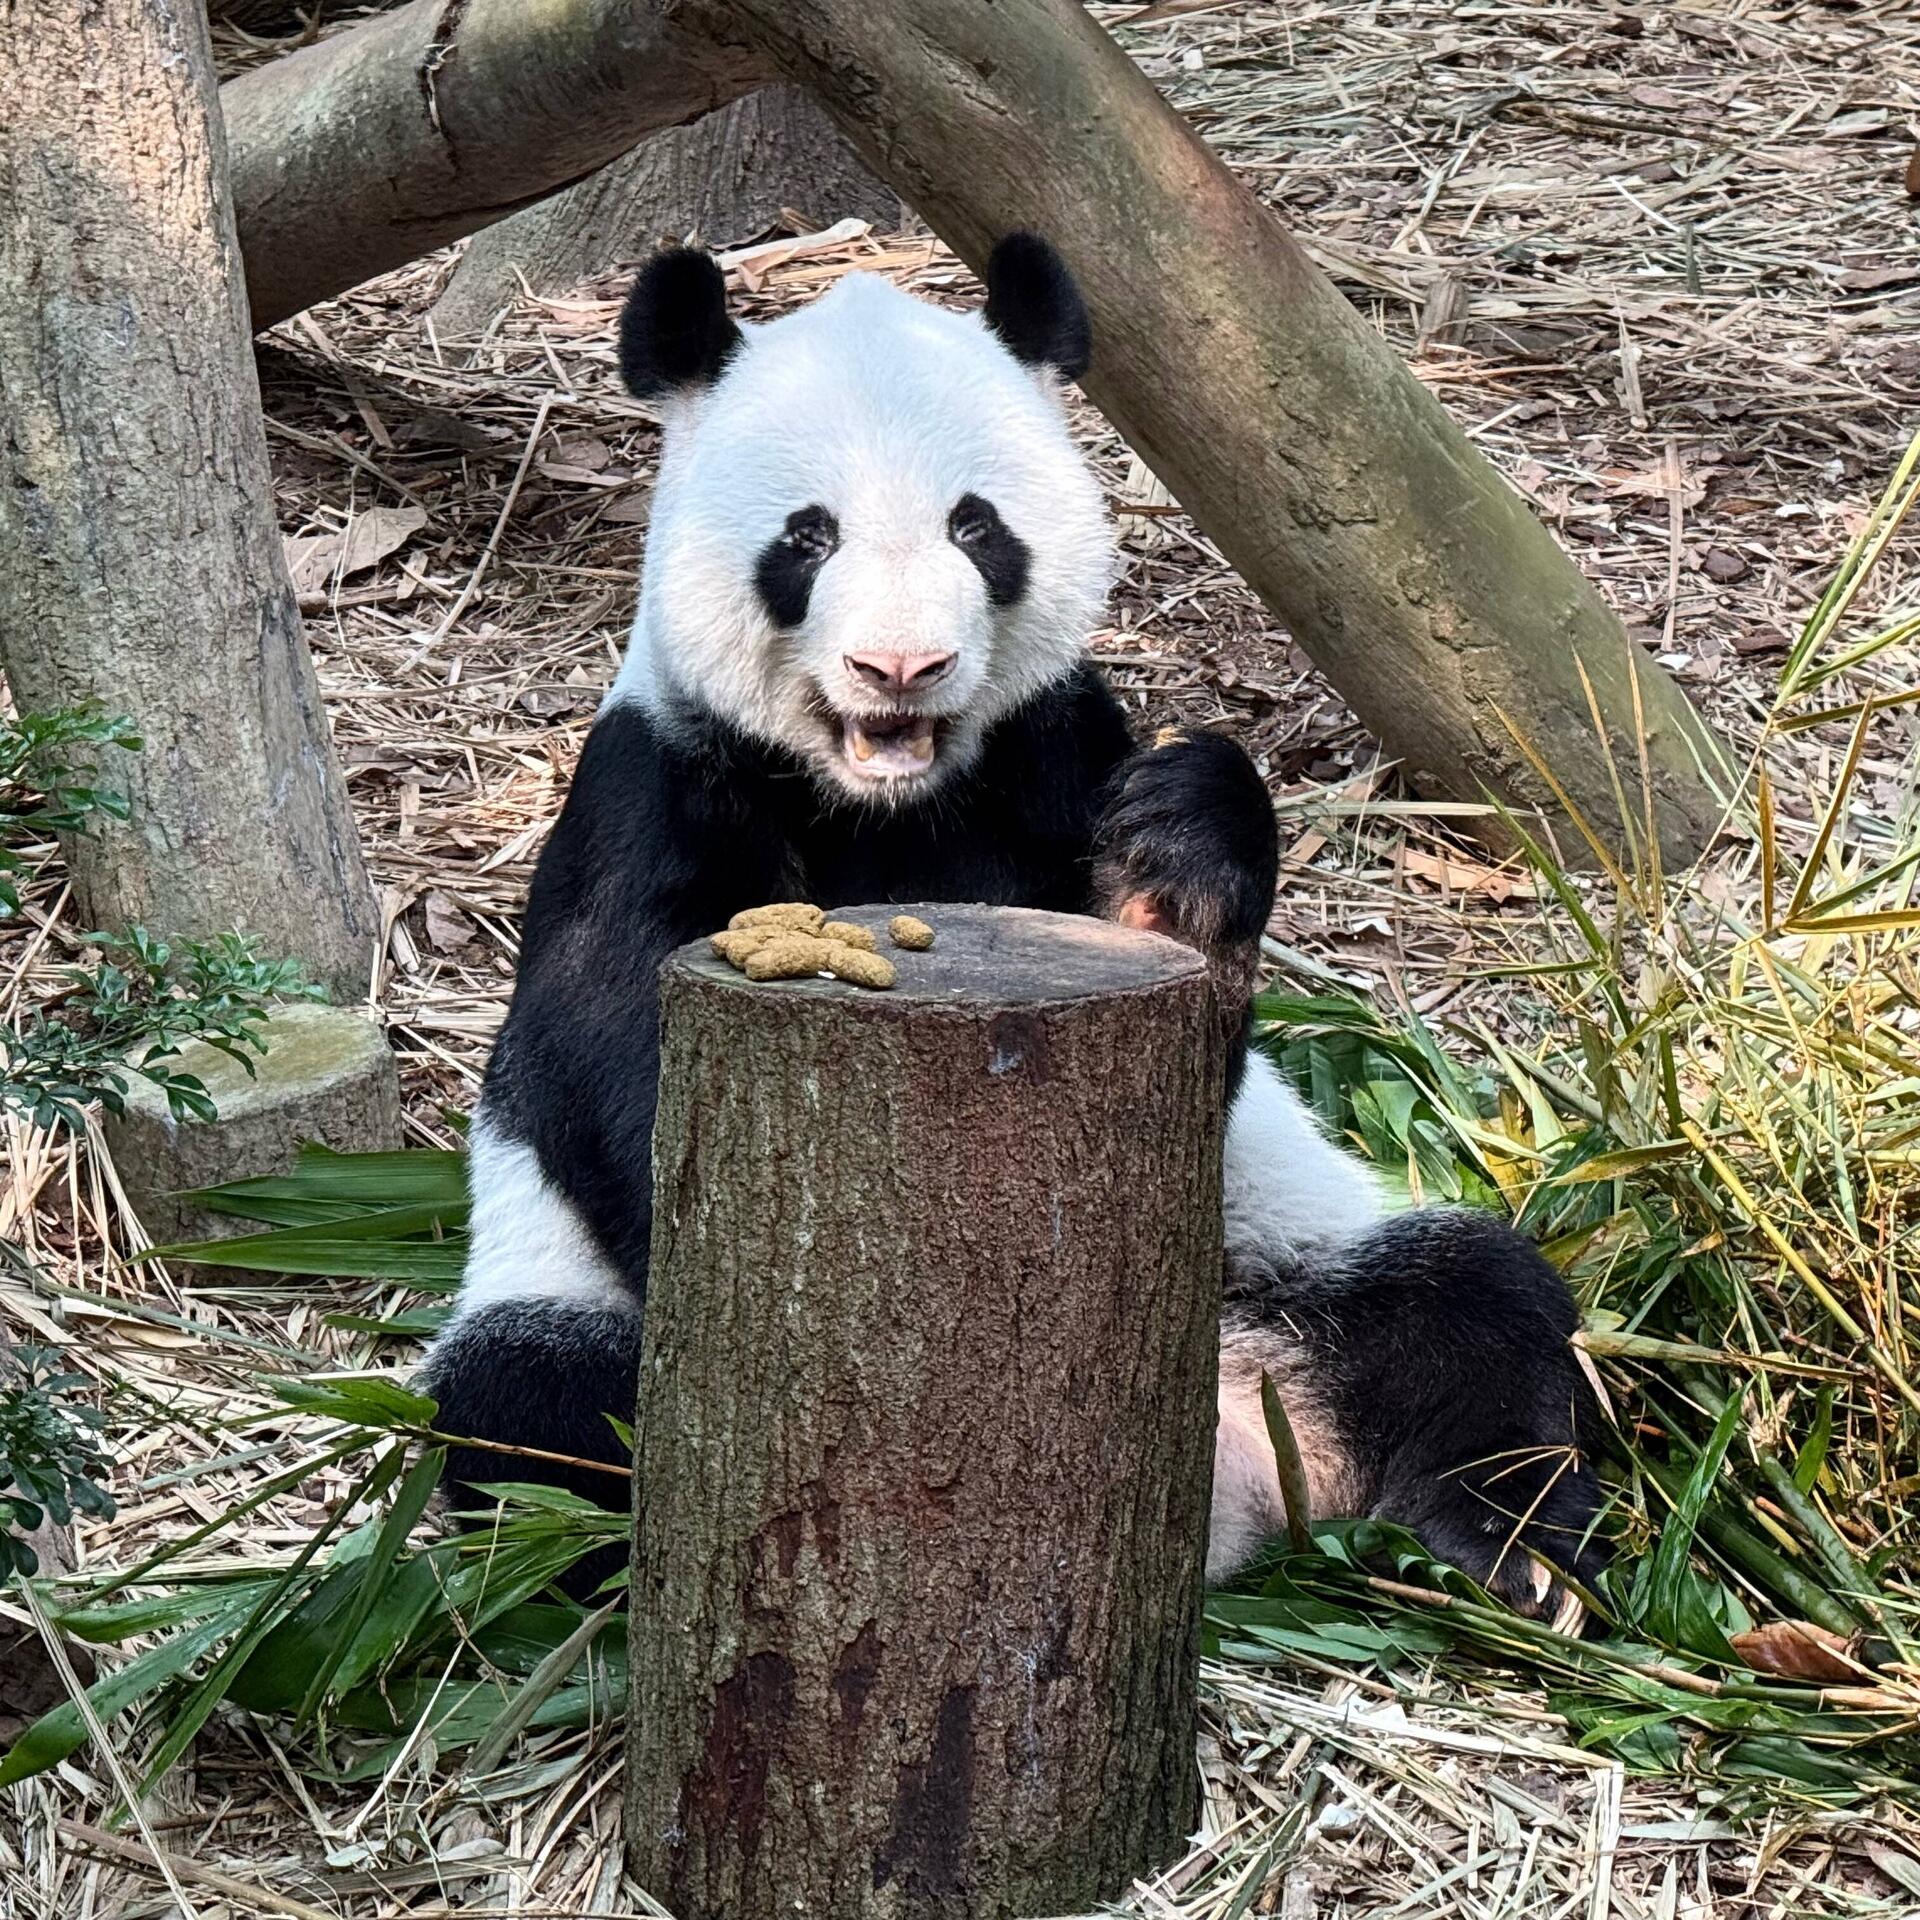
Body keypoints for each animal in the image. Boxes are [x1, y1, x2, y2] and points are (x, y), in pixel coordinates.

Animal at [423, 234, 1606, 1612]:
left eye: (975, 527)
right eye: (807, 536)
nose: (900, 668)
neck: (888, 795)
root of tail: (1239, 1476)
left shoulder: (1052, 747)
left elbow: (1196, 1014)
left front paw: (1174, 863)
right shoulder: (653, 781)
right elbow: (608, 1053)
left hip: (1297, 1247)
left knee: (1476, 1307)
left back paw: (1521, 1551)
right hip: (565, 1308)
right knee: (545, 1414)